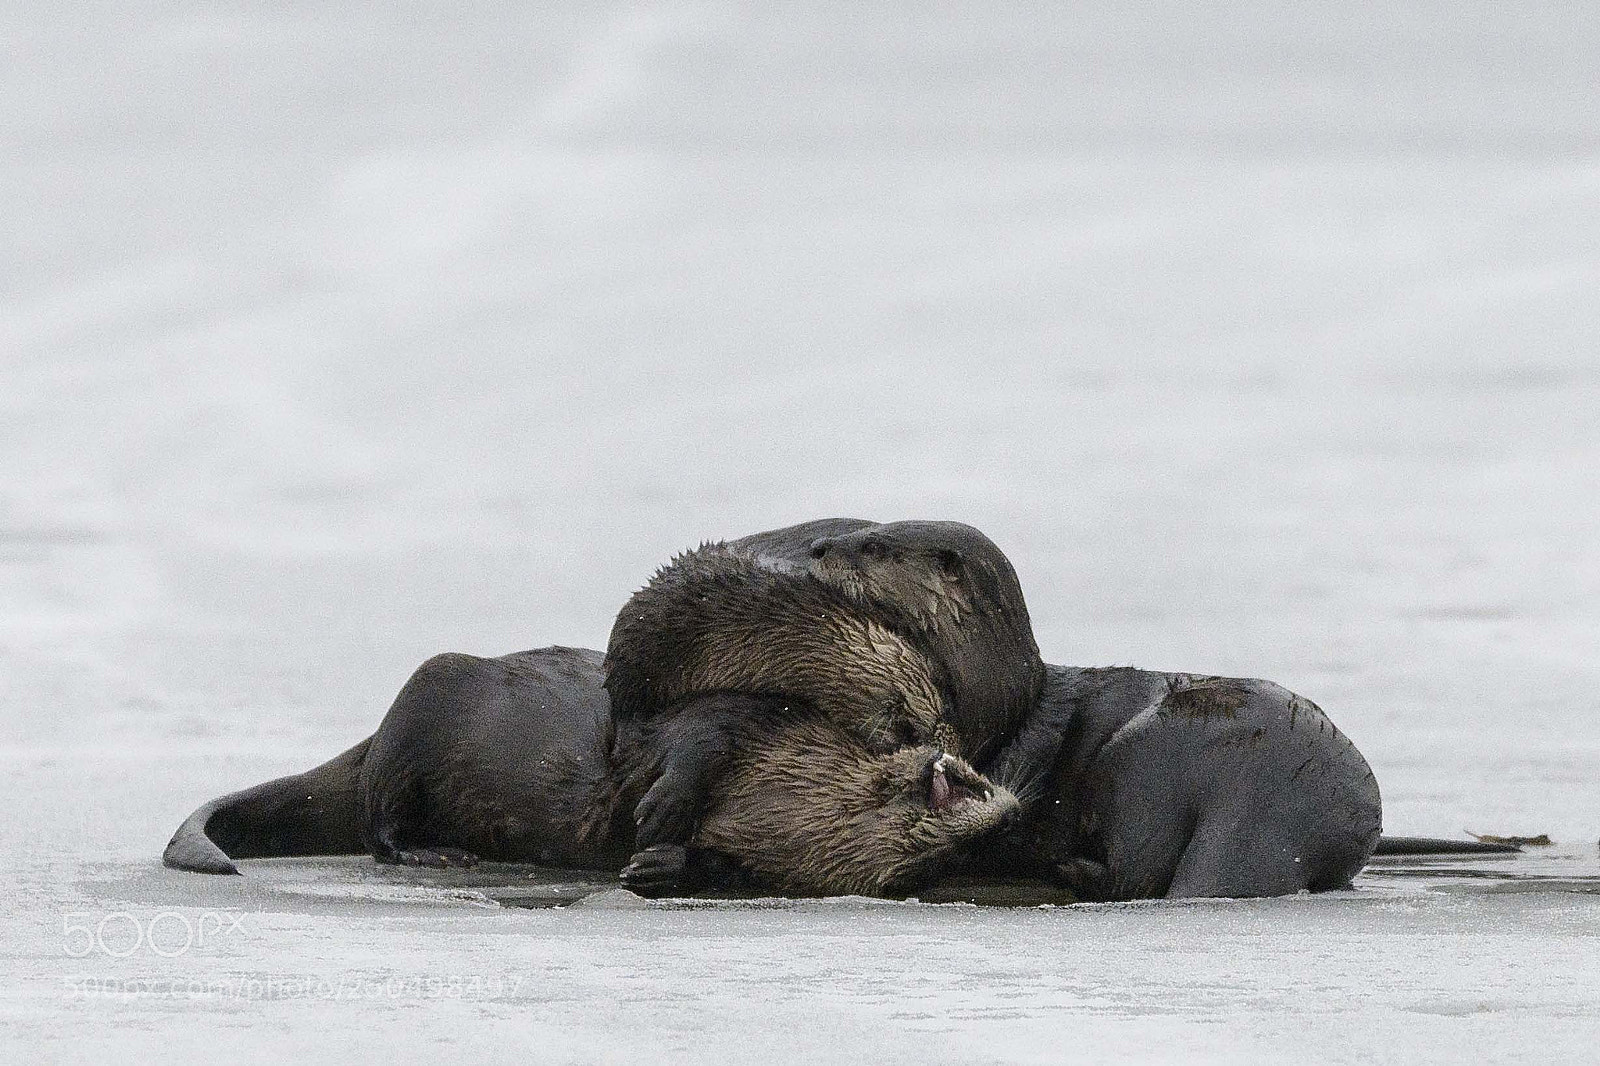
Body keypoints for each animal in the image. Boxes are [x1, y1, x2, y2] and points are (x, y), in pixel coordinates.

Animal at [163, 646, 1018, 898]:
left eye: (949, 857)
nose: (1007, 812)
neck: (784, 791)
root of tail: (368, 740)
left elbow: (717, 867)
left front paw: (657, 863)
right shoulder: (745, 715)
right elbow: (692, 745)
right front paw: (658, 814)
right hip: (420, 704)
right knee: (377, 819)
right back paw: (434, 852)